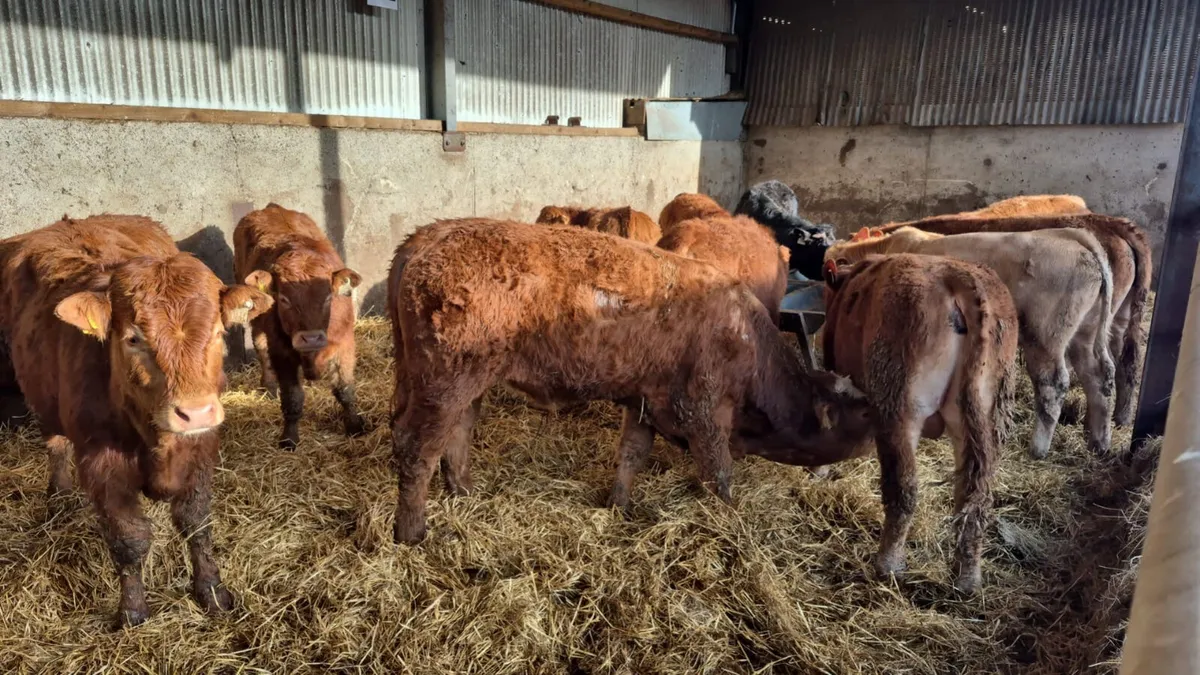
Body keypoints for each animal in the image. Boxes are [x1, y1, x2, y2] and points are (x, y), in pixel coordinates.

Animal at [3, 215, 272, 627]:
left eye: (216, 332)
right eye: (133, 339)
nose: (195, 411)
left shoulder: (201, 446)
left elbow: (197, 522)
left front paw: (212, 591)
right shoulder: (102, 463)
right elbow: (129, 539)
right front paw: (132, 611)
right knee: (55, 444)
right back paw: (59, 495)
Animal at [233, 203, 365, 449]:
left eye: (328, 297)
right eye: (284, 298)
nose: (311, 338)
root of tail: (271, 207)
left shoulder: (345, 343)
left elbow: (345, 390)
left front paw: (355, 426)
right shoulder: (282, 352)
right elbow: (292, 398)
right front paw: (289, 438)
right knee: (260, 346)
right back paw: (269, 386)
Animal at [821, 253, 1019, 593]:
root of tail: (959, 275)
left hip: (900, 404)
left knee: (904, 489)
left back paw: (887, 565)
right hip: (987, 417)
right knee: (974, 494)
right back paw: (967, 577)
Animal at [826, 226, 1115, 457]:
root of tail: (1076, 238)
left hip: (1044, 336)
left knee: (1053, 384)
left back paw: (1038, 448)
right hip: (1085, 334)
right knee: (1099, 376)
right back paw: (1099, 443)